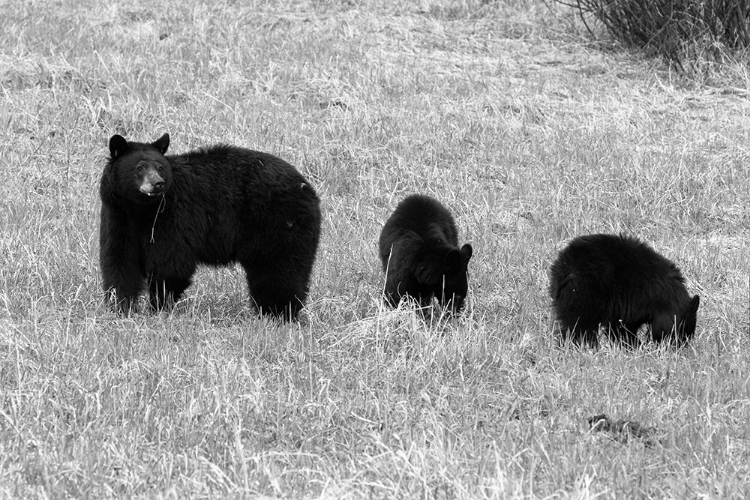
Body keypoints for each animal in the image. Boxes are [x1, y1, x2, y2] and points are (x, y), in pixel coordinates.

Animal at [100, 134, 324, 320]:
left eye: (160, 167)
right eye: (139, 167)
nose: (158, 183)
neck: (142, 210)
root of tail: (307, 187)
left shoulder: (174, 216)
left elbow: (171, 263)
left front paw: (159, 308)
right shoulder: (118, 217)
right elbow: (119, 261)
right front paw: (122, 307)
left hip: (280, 223)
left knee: (280, 271)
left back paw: (278, 314)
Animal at [548, 233, 704, 348]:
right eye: (683, 332)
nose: (680, 347)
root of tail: (566, 267)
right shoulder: (636, 300)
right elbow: (625, 326)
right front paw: (634, 345)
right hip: (586, 292)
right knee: (580, 323)